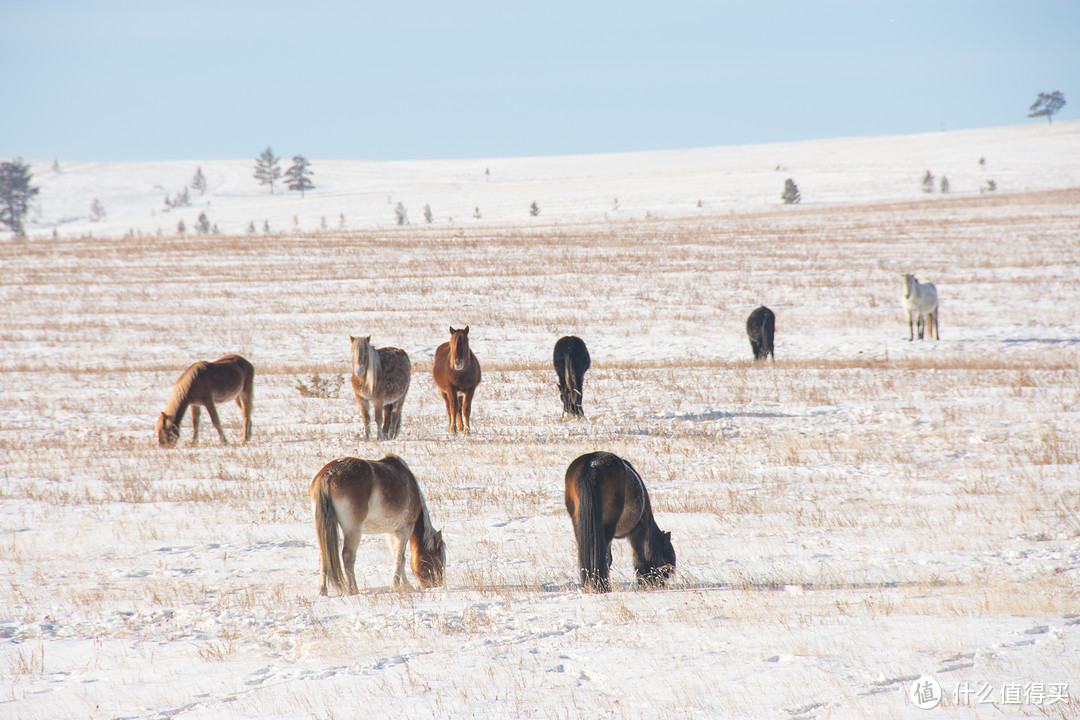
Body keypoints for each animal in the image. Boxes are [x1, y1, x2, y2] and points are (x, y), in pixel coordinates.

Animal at [308, 459, 447, 595]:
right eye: (439, 560)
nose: (436, 585)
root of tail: (328, 474)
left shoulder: (391, 532)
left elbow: (398, 557)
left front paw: (405, 584)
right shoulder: (404, 530)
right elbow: (400, 557)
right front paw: (397, 585)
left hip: (324, 531)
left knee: (323, 556)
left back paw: (323, 590)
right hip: (353, 530)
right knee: (348, 556)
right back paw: (353, 589)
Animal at [565, 453, 673, 595]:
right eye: (666, 562)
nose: (661, 584)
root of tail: (591, 464)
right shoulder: (637, 533)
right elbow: (638, 560)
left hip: (579, 524)